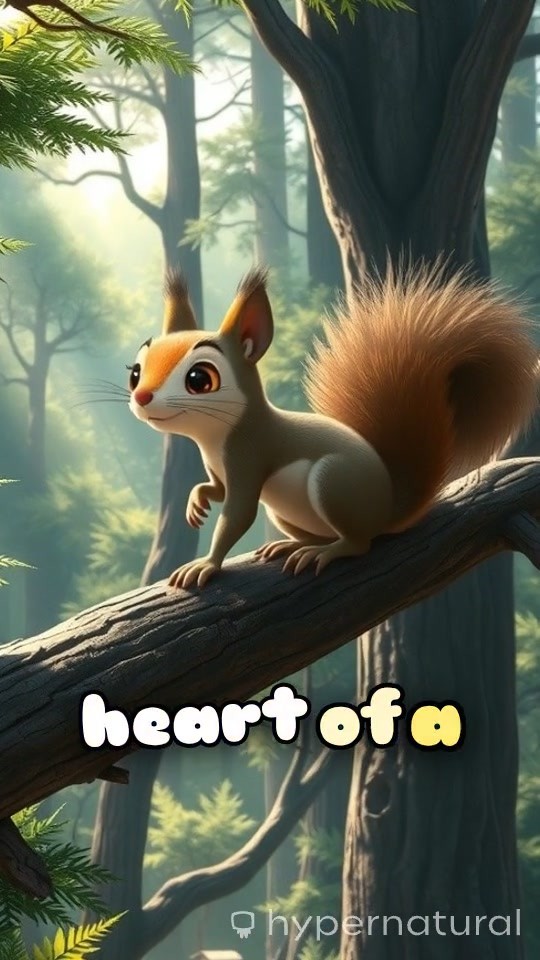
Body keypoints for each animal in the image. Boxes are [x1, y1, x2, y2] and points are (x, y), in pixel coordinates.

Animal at [128, 263, 539, 589]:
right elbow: (216, 488)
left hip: (333, 482)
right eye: (135, 371)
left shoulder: (250, 456)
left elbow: (238, 514)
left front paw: (207, 564)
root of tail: (388, 509)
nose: (142, 396)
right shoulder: (222, 469)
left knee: (359, 543)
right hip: (285, 510)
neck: (214, 439)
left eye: (200, 378)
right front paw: (198, 500)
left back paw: (324, 553)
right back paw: (294, 545)